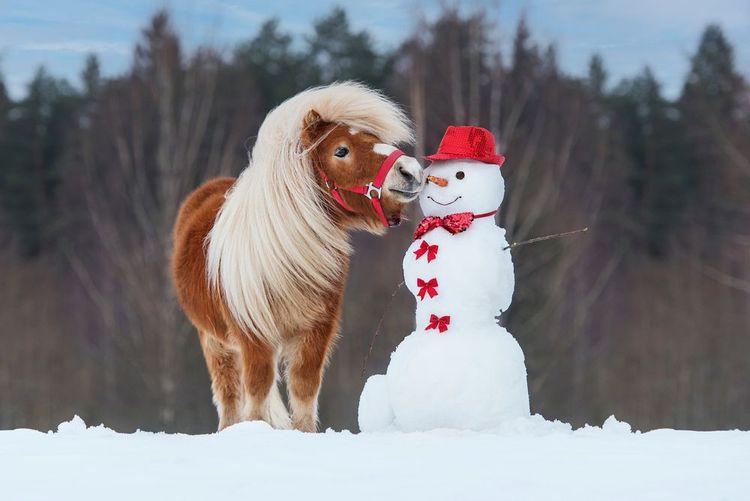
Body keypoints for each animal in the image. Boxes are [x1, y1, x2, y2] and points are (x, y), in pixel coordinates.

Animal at [171, 82, 424, 432]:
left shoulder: (316, 330)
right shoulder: (253, 335)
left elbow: (304, 388)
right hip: (215, 342)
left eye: (373, 139)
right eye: (341, 151)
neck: (282, 254)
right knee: (229, 394)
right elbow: (257, 391)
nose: (410, 171)